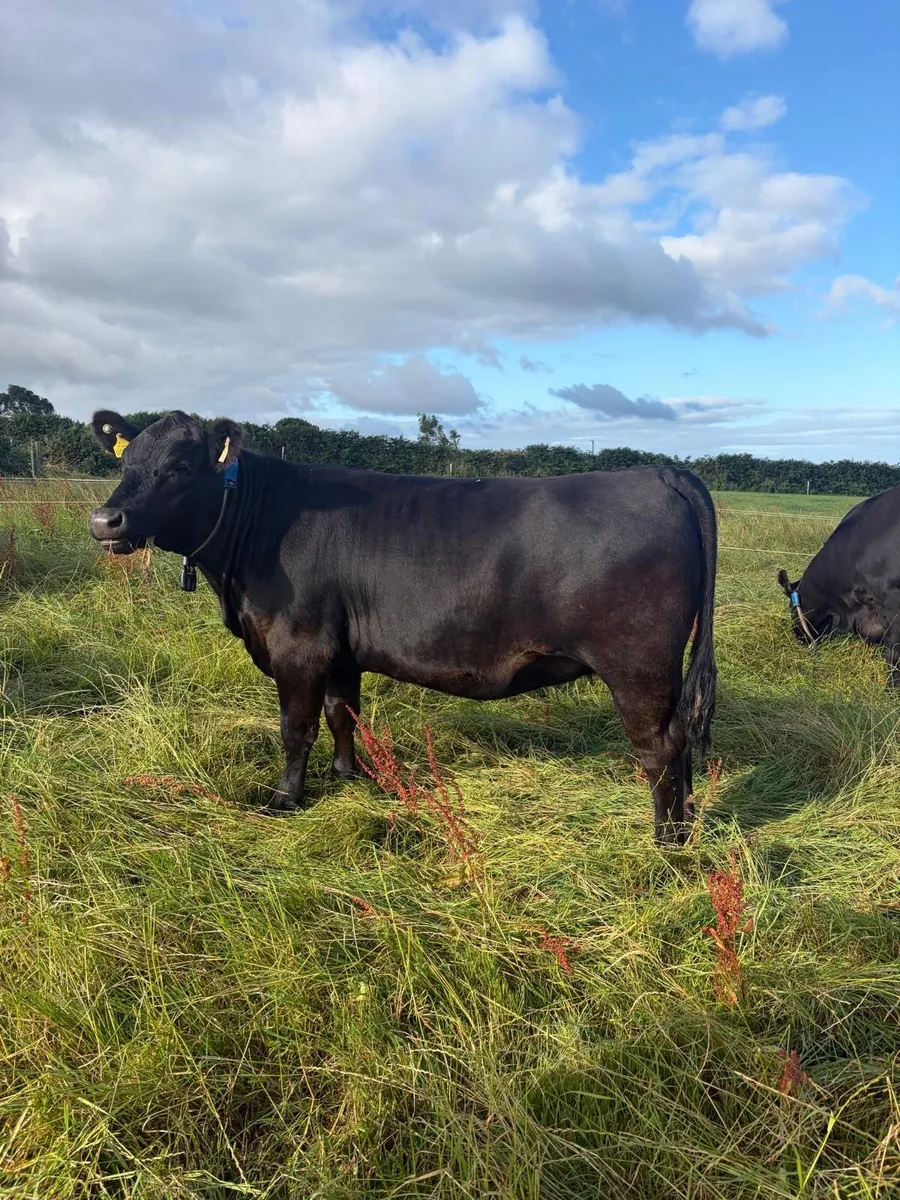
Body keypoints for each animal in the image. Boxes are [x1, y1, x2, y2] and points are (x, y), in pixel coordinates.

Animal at [89, 409, 717, 845]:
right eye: (124, 463)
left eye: (181, 467)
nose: (105, 520)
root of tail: (661, 472)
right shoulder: (340, 650)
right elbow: (343, 715)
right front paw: (348, 777)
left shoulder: (299, 645)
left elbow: (297, 726)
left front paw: (285, 799)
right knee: (683, 741)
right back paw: (687, 828)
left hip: (638, 666)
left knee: (660, 748)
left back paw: (666, 843)